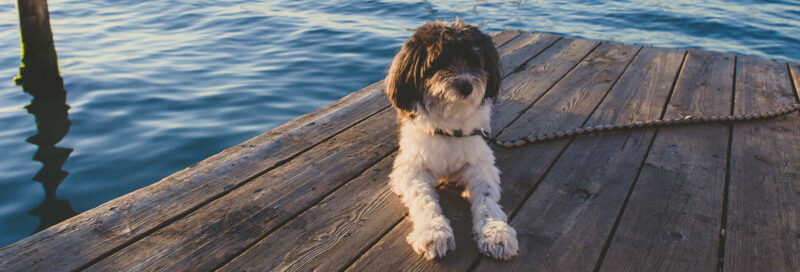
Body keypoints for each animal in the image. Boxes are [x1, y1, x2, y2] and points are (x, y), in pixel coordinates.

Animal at [386, 20, 520, 260]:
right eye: (440, 62)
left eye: (474, 61)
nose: (466, 86)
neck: (449, 126)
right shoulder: (410, 169)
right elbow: (423, 199)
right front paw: (432, 231)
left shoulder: (481, 165)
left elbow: (486, 199)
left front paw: (496, 232)